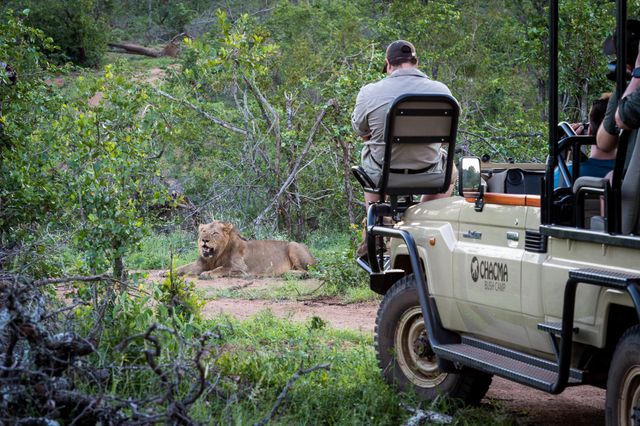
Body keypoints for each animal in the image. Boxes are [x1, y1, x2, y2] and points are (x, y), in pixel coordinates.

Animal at [174, 221, 316, 278]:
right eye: (203, 231)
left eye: (214, 233)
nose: (204, 240)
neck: (215, 256)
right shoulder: (200, 263)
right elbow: (183, 267)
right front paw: (168, 272)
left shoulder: (240, 268)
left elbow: (221, 268)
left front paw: (207, 274)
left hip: (293, 245)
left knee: (306, 271)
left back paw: (287, 273)